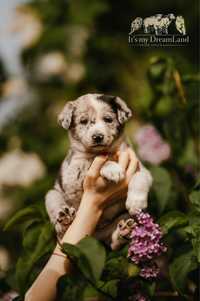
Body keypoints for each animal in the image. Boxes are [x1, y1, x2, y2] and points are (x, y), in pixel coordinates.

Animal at [45, 94, 152, 248]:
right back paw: (64, 220)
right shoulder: (74, 174)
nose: (97, 137)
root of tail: (94, 235)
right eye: (83, 121)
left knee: (113, 243)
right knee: (59, 221)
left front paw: (136, 202)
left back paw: (124, 231)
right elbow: (93, 162)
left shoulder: (140, 167)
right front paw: (112, 169)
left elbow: (139, 178)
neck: (105, 152)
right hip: (52, 195)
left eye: (108, 119)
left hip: (119, 220)